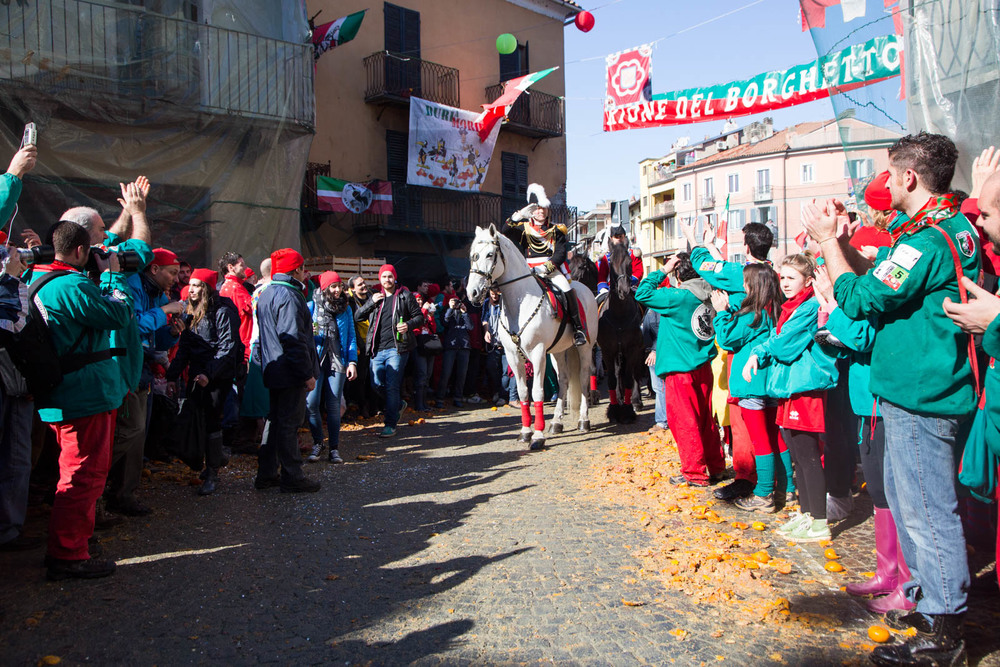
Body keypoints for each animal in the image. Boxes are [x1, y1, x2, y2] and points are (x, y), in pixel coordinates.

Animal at [466, 224, 596, 448]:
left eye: (490, 254)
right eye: (473, 255)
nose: (471, 292)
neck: (519, 302)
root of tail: (585, 289)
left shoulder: (537, 353)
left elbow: (537, 392)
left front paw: (537, 436)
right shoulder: (512, 356)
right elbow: (523, 392)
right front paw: (526, 432)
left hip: (585, 347)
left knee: (584, 377)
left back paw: (583, 420)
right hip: (557, 351)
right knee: (563, 380)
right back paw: (557, 423)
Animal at [596, 244, 644, 422]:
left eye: (630, 263)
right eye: (611, 265)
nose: (624, 290)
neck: (619, 315)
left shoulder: (632, 348)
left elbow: (630, 378)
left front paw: (628, 410)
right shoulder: (608, 351)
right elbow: (612, 379)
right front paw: (614, 409)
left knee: (636, 373)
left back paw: (635, 401)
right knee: (618, 373)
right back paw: (620, 397)